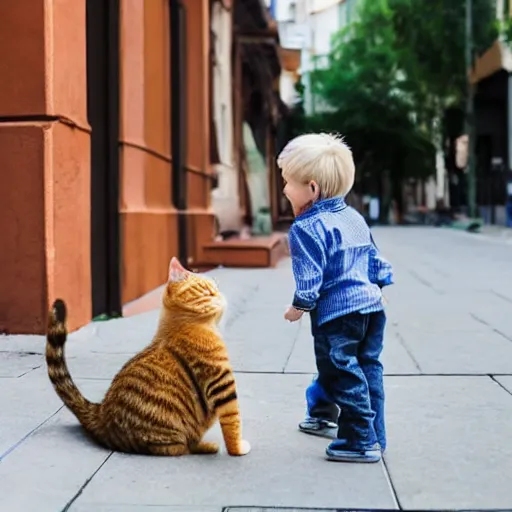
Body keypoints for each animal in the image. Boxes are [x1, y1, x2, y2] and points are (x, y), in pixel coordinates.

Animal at [46, 260, 250, 456]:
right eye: (209, 291)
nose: (221, 294)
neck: (184, 324)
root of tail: (99, 413)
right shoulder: (222, 385)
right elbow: (233, 423)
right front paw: (237, 449)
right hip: (169, 437)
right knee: (181, 448)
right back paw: (207, 446)